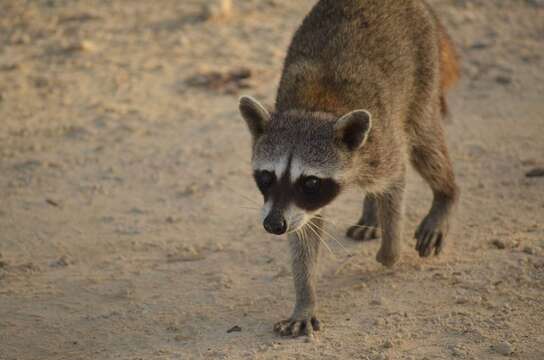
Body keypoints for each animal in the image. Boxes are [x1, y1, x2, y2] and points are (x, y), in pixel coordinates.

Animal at [238, 0, 460, 338]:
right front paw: (305, 299)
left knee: (424, 142)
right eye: (266, 177)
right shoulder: (295, 206)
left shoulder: (381, 141)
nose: (273, 225)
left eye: (310, 182)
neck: (315, 109)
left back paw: (445, 195)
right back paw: (371, 211)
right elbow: (304, 233)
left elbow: (395, 178)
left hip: (423, 73)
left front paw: (390, 249)